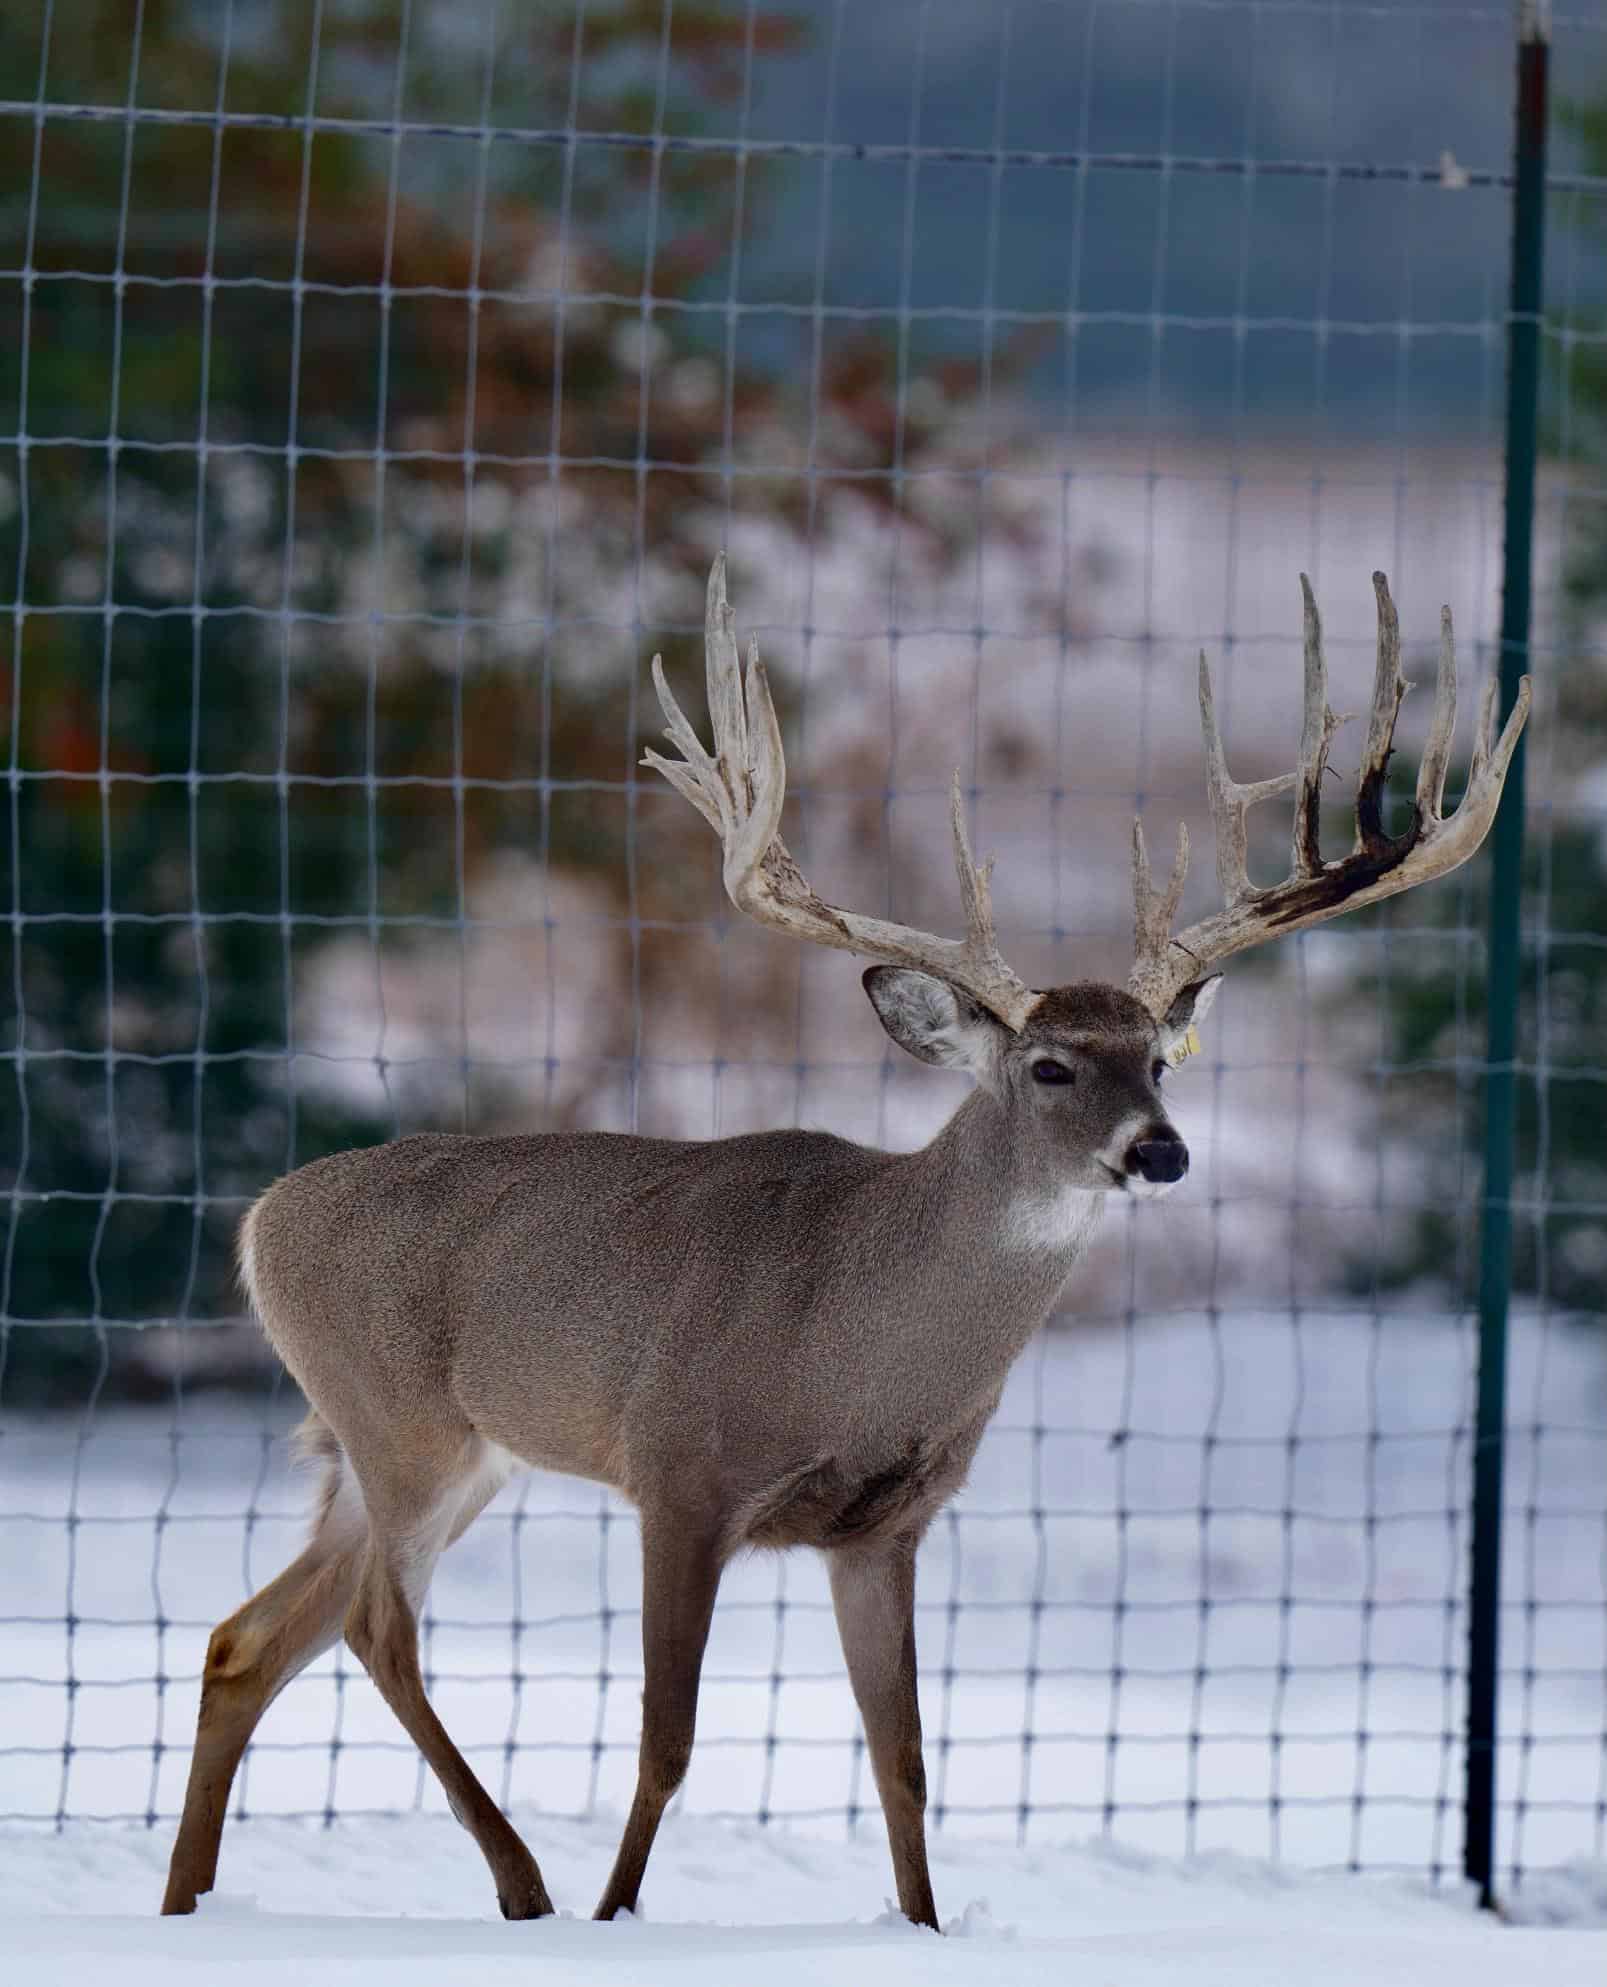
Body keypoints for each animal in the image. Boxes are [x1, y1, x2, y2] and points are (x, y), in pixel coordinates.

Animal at [161, 556, 1528, 1930]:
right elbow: (664, 1740)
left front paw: (920, 1926)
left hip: (428, 1450)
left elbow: (903, 1757)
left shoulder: (887, 1524)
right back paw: (523, 1884)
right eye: (1048, 1065)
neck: (857, 1347)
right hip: (403, 1421)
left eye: (1156, 1059)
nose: (1161, 1151)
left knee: (248, 1637)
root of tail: (262, 1217)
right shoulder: (682, 1468)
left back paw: (190, 1903)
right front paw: (617, 1918)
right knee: (376, 1631)